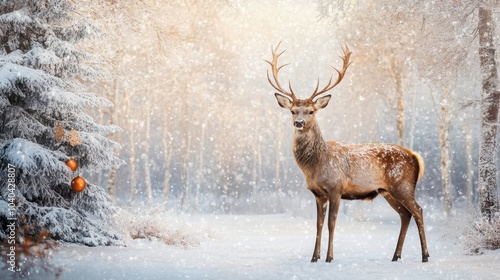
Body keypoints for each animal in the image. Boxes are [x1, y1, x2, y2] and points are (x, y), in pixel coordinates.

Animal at [266, 42, 430, 264]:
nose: (298, 123)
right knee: (405, 214)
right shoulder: (318, 194)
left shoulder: (336, 187)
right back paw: (395, 256)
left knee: (418, 211)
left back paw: (425, 256)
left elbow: (331, 223)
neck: (314, 166)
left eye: (311, 111)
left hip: (402, 185)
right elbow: (317, 224)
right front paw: (314, 257)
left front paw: (329, 257)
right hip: (387, 191)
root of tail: (415, 156)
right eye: (293, 111)